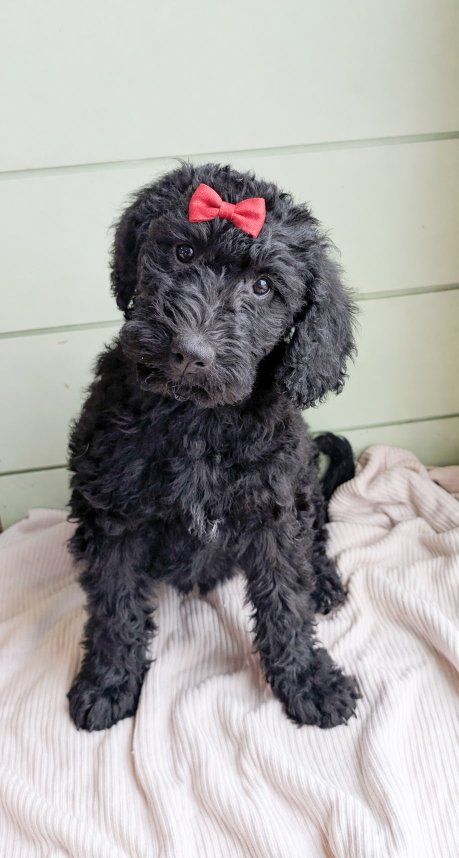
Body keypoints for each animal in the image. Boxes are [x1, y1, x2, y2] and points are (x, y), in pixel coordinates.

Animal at [67, 162, 360, 731]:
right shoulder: (113, 514)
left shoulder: (273, 512)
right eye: (183, 253)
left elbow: (285, 602)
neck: (197, 417)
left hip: (303, 483)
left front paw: (308, 681)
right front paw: (108, 682)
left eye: (263, 287)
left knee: (314, 537)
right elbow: (115, 604)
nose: (190, 352)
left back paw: (324, 583)